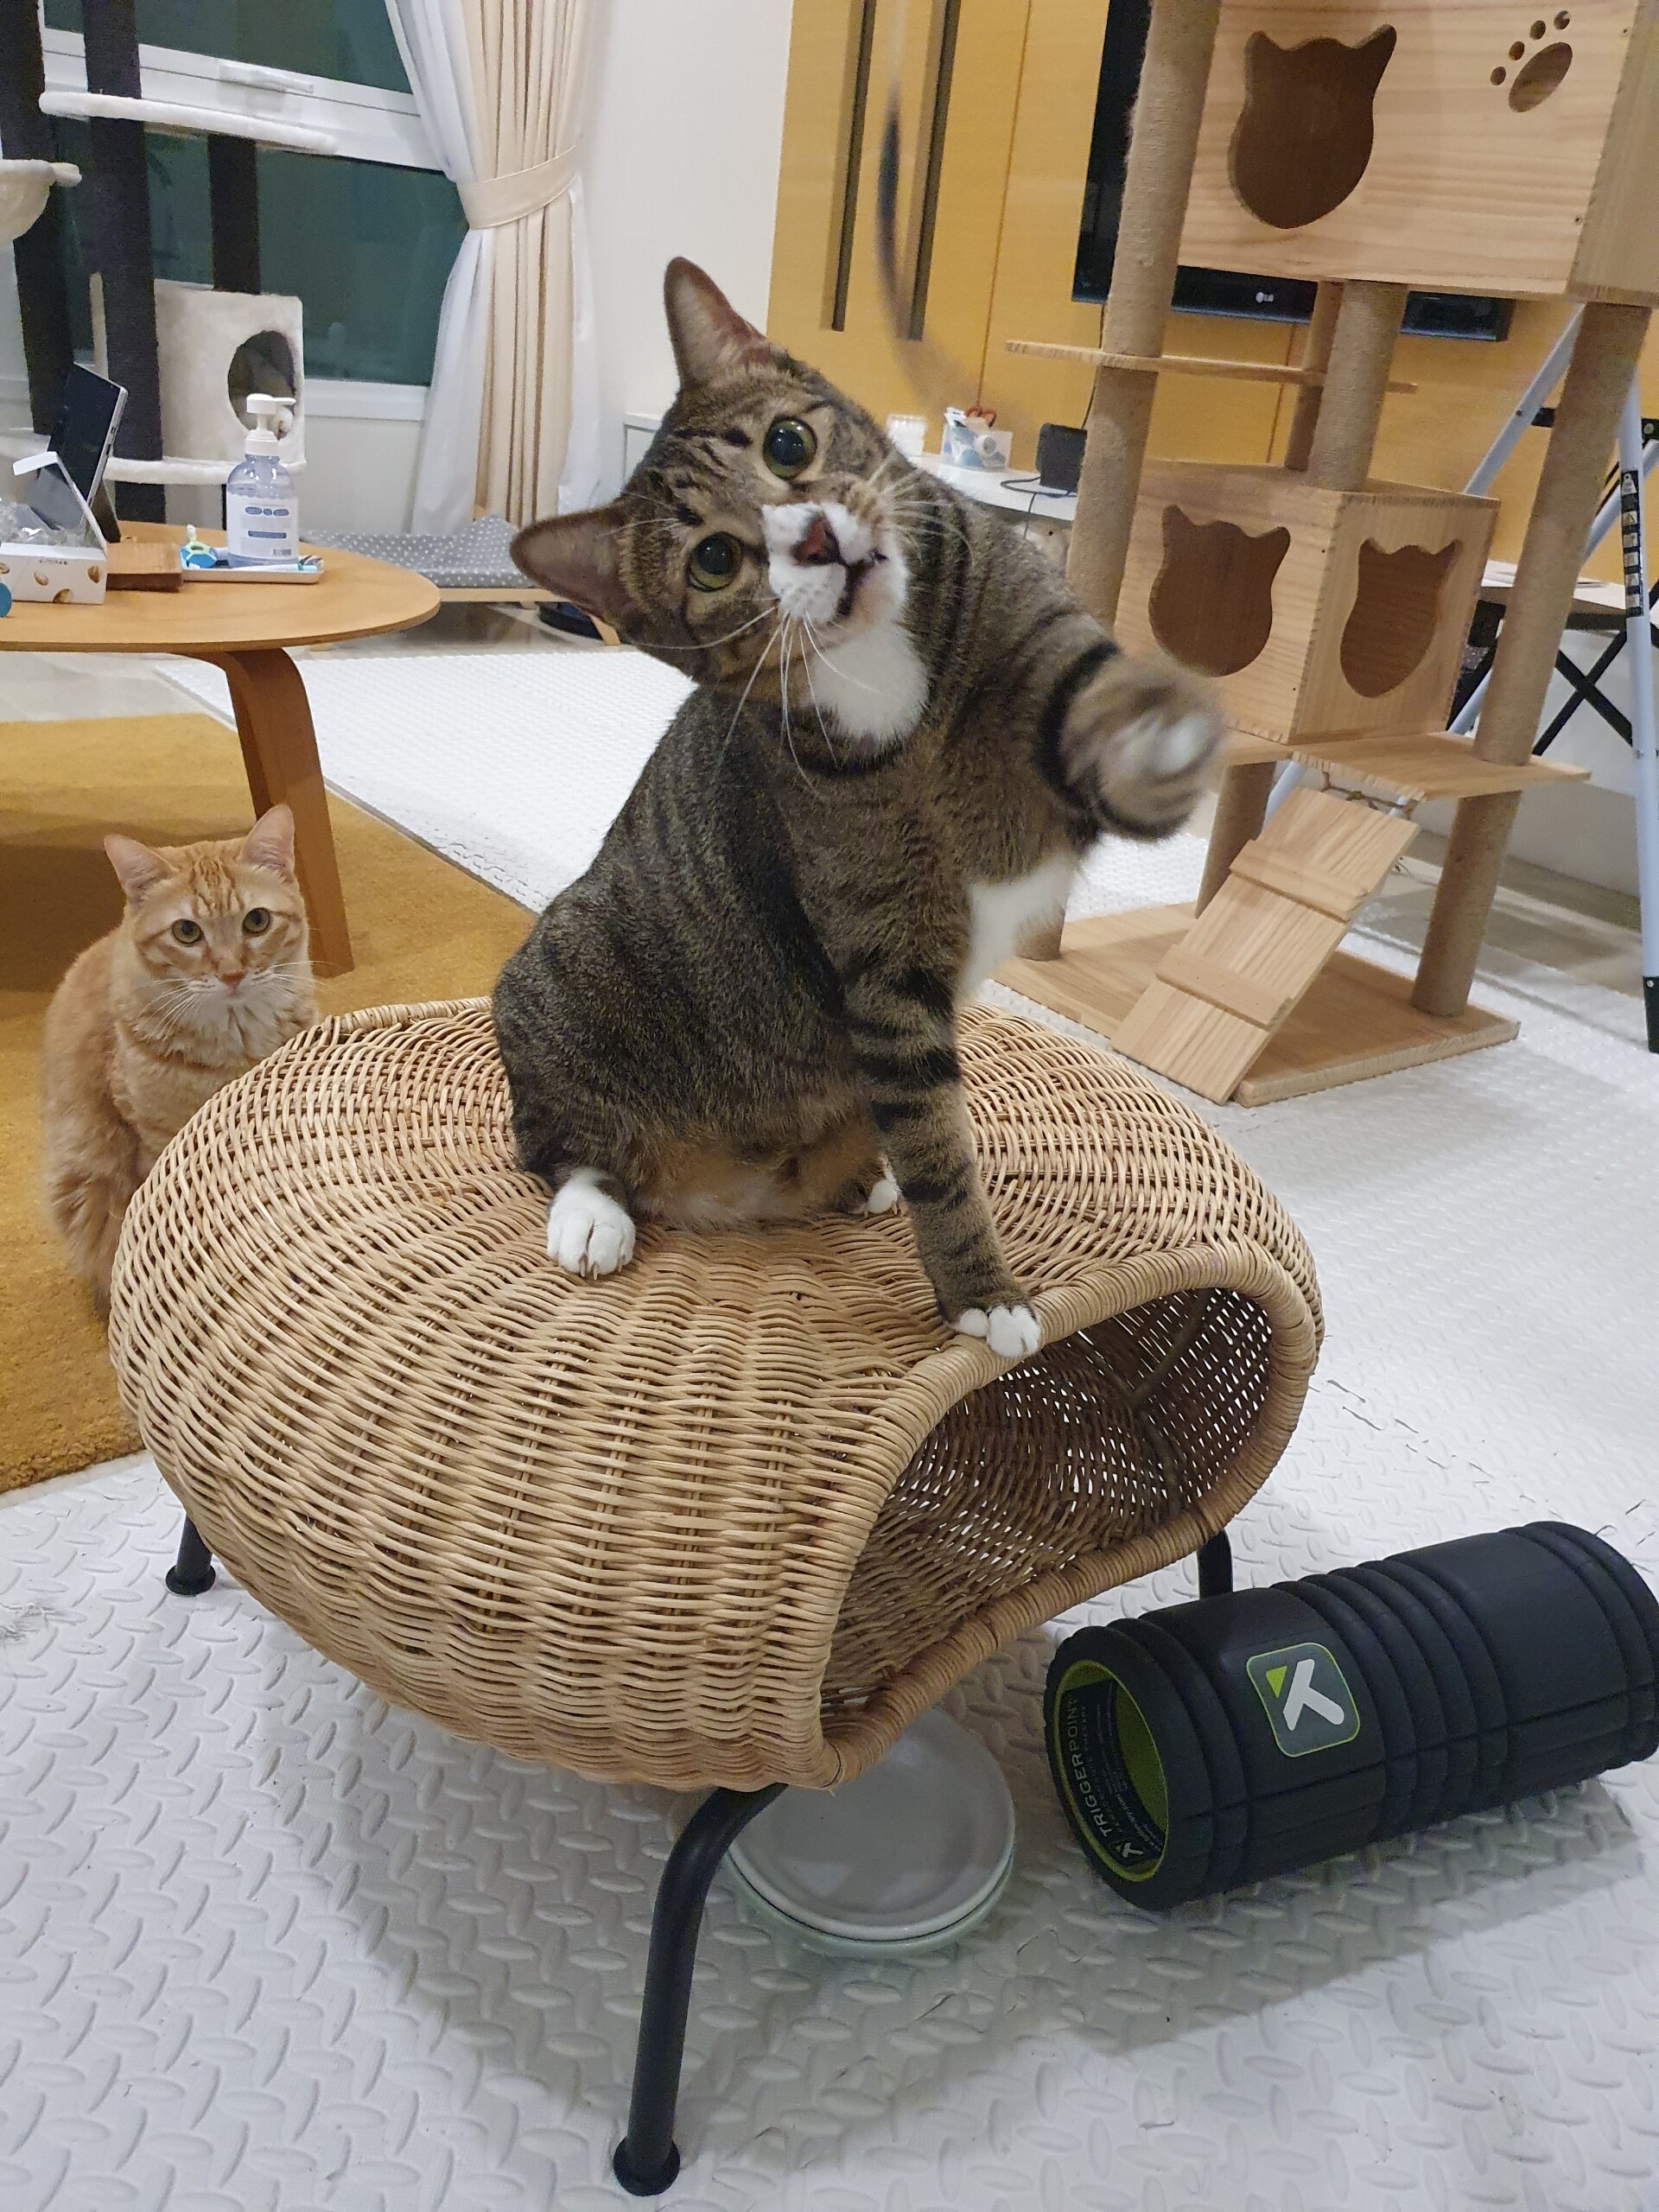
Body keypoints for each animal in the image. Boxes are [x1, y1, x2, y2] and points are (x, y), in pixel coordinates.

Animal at [495, 259, 1222, 1362]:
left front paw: (1167, 742)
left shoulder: (1035, 636)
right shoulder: (886, 963)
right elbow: (938, 1148)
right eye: (714, 560)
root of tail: (733, 1193)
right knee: (566, 1147)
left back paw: (853, 1179)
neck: (901, 684)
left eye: (788, 444)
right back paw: (596, 1218)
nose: (817, 539)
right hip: (560, 968)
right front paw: (984, 1297)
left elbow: (1087, 698)